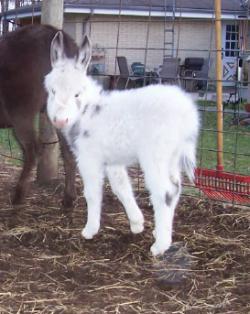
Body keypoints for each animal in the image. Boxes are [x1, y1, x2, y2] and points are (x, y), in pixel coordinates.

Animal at [44, 31, 199, 256]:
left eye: (77, 94)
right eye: (52, 91)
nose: (60, 120)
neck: (87, 110)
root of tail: (188, 114)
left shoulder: (90, 158)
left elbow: (92, 193)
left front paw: (90, 230)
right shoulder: (112, 161)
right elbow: (122, 188)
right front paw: (137, 223)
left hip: (155, 156)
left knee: (165, 192)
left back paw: (160, 245)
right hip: (172, 157)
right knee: (176, 188)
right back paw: (161, 233)